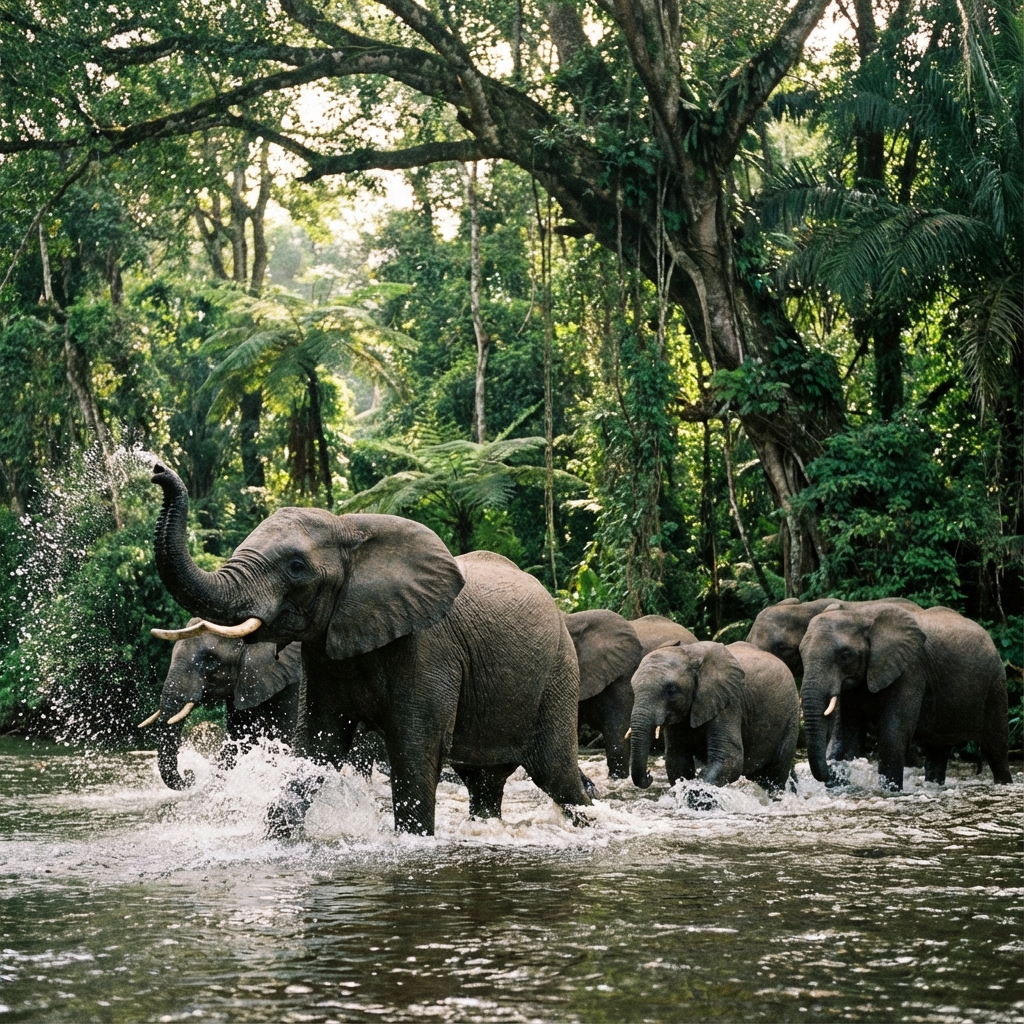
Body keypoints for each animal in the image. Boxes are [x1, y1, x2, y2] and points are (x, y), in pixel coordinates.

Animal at [630, 640, 799, 795]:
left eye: (672, 690)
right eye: (633, 688)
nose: (649, 774)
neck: (690, 653)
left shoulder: (729, 702)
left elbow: (729, 758)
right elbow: (676, 759)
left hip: (791, 715)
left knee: (776, 773)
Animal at [799, 603, 1012, 790]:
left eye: (845, 655)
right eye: (801, 653)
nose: (833, 772)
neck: (860, 613)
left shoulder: (911, 669)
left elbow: (893, 734)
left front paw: (891, 791)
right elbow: (848, 734)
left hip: (995, 684)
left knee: (996, 747)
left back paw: (1004, 783)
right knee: (937, 750)